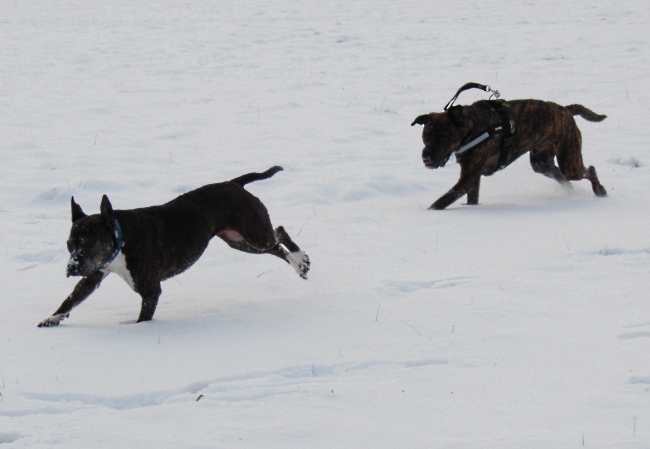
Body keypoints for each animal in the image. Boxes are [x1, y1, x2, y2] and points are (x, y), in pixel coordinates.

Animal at [38, 166, 308, 328]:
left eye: (90, 243)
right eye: (70, 245)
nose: (72, 266)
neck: (120, 238)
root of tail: (234, 183)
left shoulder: (149, 290)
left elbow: (143, 318)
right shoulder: (93, 276)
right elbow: (71, 299)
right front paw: (52, 317)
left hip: (253, 233)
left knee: (278, 234)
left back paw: (300, 259)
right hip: (240, 240)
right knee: (276, 241)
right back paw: (300, 265)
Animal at [410, 83, 608, 209]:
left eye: (443, 136)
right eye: (425, 135)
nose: (426, 154)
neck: (471, 128)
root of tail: (566, 110)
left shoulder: (466, 179)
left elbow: (442, 201)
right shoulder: (472, 177)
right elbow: (472, 198)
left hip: (569, 161)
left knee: (589, 170)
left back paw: (600, 190)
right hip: (542, 162)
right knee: (561, 176)